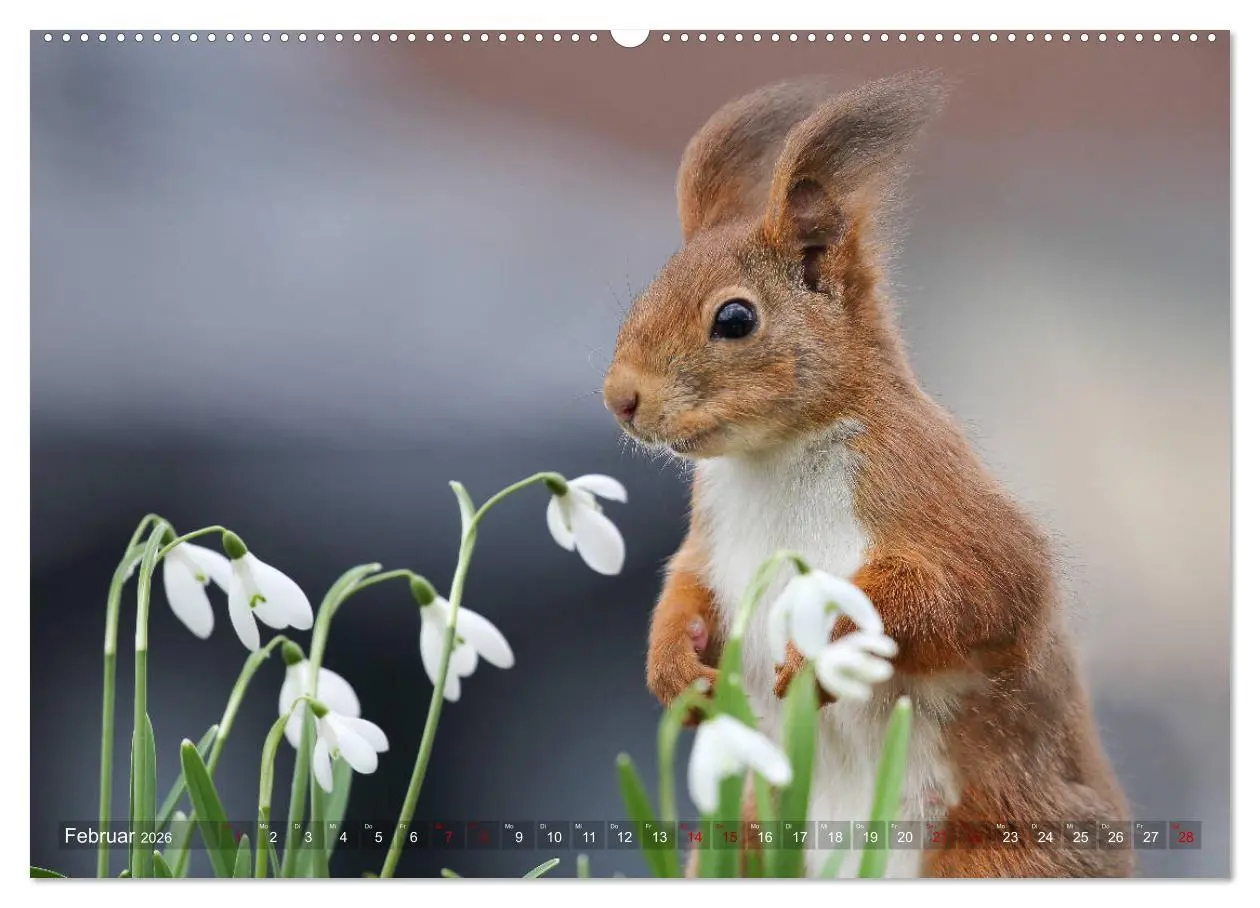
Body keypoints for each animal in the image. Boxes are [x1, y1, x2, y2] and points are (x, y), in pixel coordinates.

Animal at [602, 72, 1132, 878]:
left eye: (735, 319)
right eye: (646, 293)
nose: (619, 398)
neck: (775, 458)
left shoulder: (931, 492)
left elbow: (973, 591)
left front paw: (825, 649)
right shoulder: (711, 537)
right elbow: (685, 588)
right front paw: (674, 672)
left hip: (998, 853)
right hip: (746, 842)